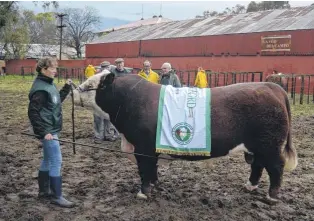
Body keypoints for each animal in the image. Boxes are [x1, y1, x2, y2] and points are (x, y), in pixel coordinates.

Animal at [72, 71, 298, 203]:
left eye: (91, 85)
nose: (73, 91)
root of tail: (271, 86)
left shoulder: (143, 148)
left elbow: (144, 170)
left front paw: (143, 192)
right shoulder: (152, 148)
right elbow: (152, 169)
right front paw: (155, 185)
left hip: (270, 145)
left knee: (276, 168)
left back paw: (271, 196)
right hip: (257, 146)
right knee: (257, 165)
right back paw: (250, 186)